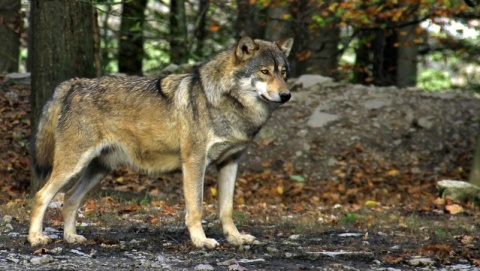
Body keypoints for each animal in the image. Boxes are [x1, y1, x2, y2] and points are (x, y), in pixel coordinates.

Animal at [29, 35, 296, 250]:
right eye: (264, 72)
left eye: (283, 72)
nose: (286, 95)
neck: (226, 103)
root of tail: (74, 83)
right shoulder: (194, 162)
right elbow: (196, 208)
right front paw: (201, 241)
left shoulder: (229, 163)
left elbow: (227, 210)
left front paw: (236, 238)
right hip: (73, 166)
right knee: (42, 195)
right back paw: (35, 238)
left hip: (98, 170)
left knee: (69, 198)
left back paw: (71, 237)